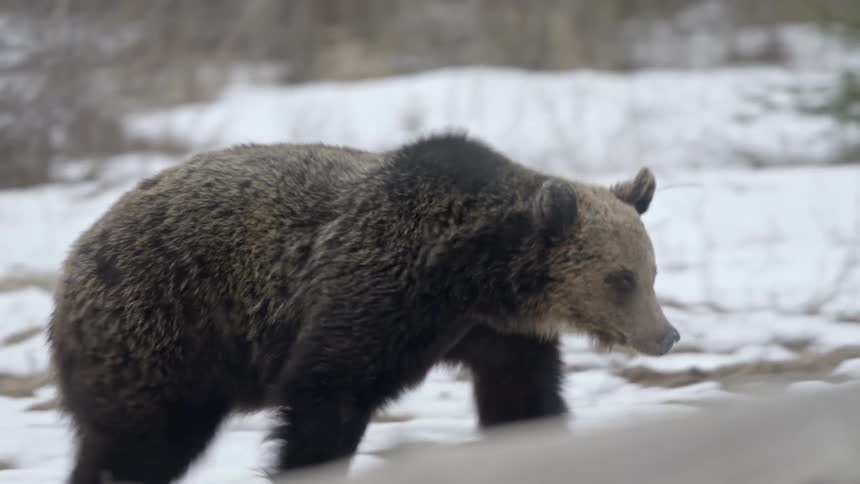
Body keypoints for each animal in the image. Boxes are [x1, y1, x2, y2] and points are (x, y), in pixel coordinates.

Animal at [46, 133, 679, 484]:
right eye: (620, 278)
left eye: (651, 272)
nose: (666, 334)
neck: (471, 279)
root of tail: (76, 255)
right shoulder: (372, 299)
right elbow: (325, 402)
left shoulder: (496, 338)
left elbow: (524, 402)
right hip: (163, 333)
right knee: (138, 445)